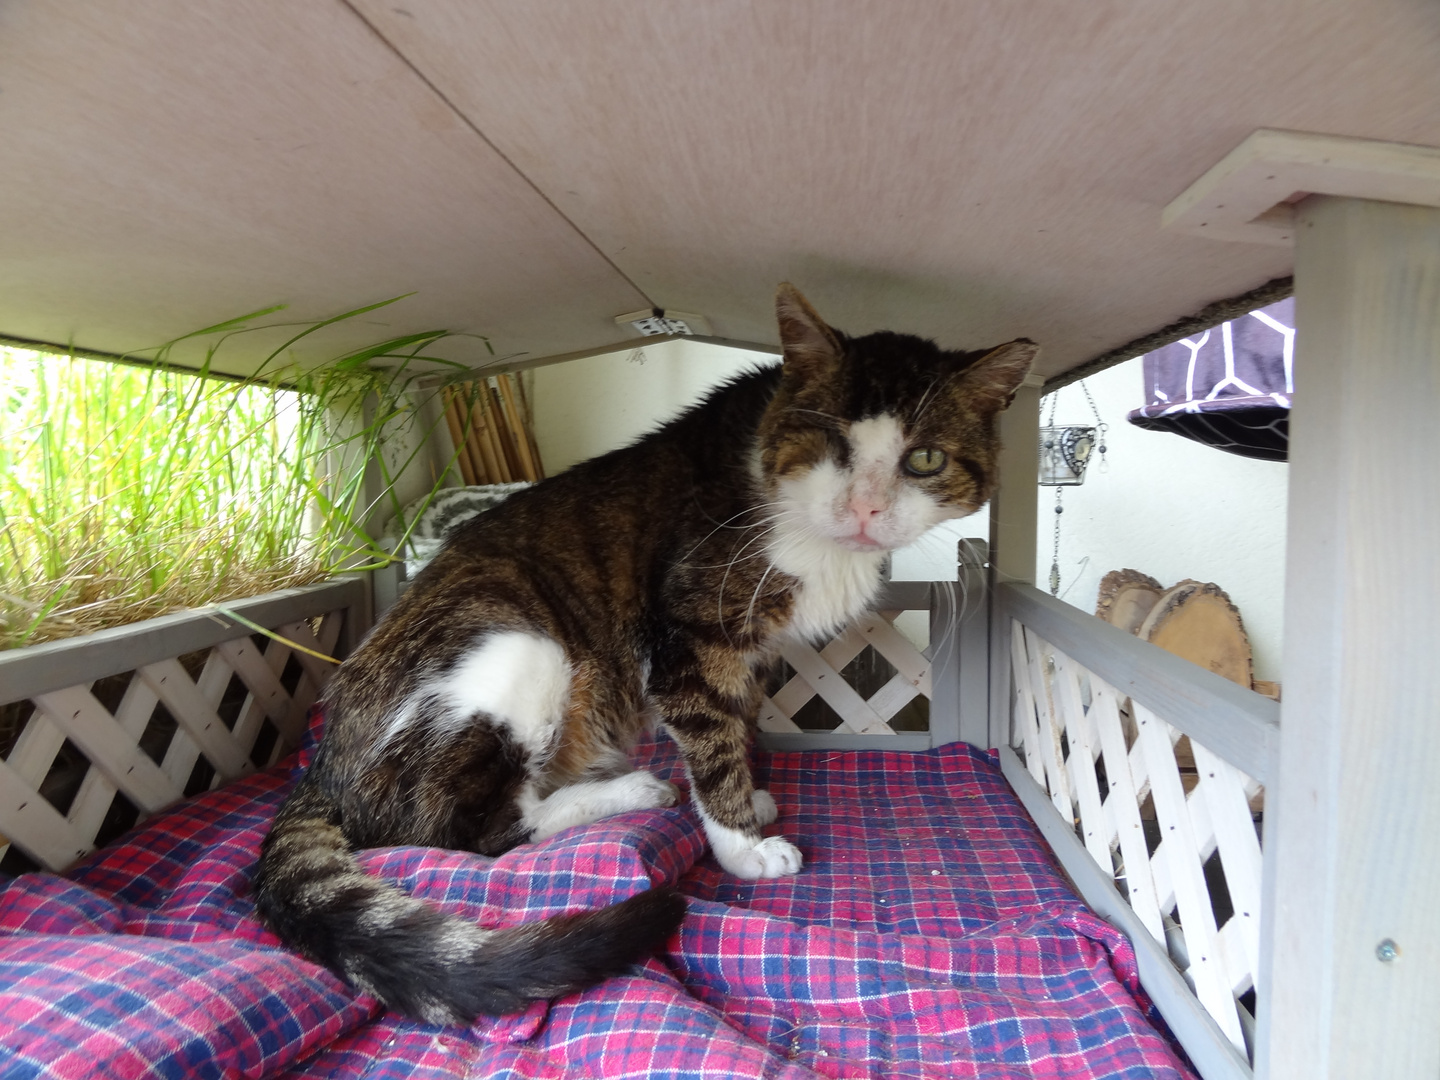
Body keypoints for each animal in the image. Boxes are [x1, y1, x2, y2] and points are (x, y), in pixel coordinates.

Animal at [256, 283, 1036, 1025]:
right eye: (833, 443)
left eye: (924, 458)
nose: (867, 508)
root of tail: (323, 766)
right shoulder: (690, 633)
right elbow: (711, 735)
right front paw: (743, 845)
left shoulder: (750, 651)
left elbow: (737, 722)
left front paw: (747, 796)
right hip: (517, 639)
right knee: (468, 833)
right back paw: (632, 792)